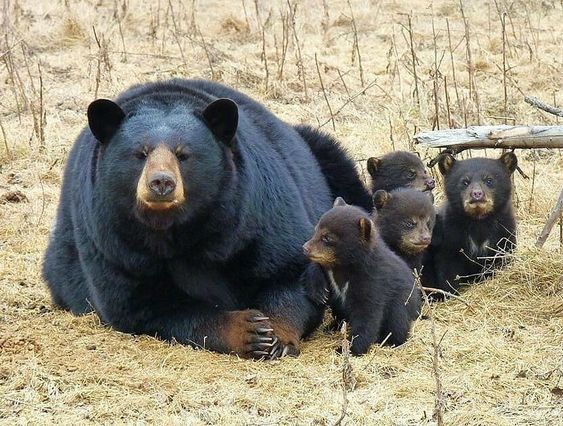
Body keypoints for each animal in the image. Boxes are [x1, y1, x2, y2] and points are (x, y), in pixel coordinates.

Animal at [41, 79, 364, 360]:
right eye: (140, 154)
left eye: (183, 154)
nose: (161, 183)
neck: (176, 228)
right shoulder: (114, 241)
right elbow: (142, 303)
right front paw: (248, 332)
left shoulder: (255, 212)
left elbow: (290, 272)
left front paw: (277, 338)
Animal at [304, 198, 418, 354]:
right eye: (316, 230)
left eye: (327, 238)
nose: (305, 248)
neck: (344, 266)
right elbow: (318, 268)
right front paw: (320, 292)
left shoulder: (372, 281)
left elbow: (367, 315)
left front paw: (348, 349)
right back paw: (332, 325)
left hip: (402, 301)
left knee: (398, 320)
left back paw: (390, 341)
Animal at [424, 151, 520, 294]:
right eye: (465, 182)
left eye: (489, 180)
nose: (477, 194)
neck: (478, 220)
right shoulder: (450, 234)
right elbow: (448, 266)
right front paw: (452, 291)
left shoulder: (504, 230)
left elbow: (502, 255)